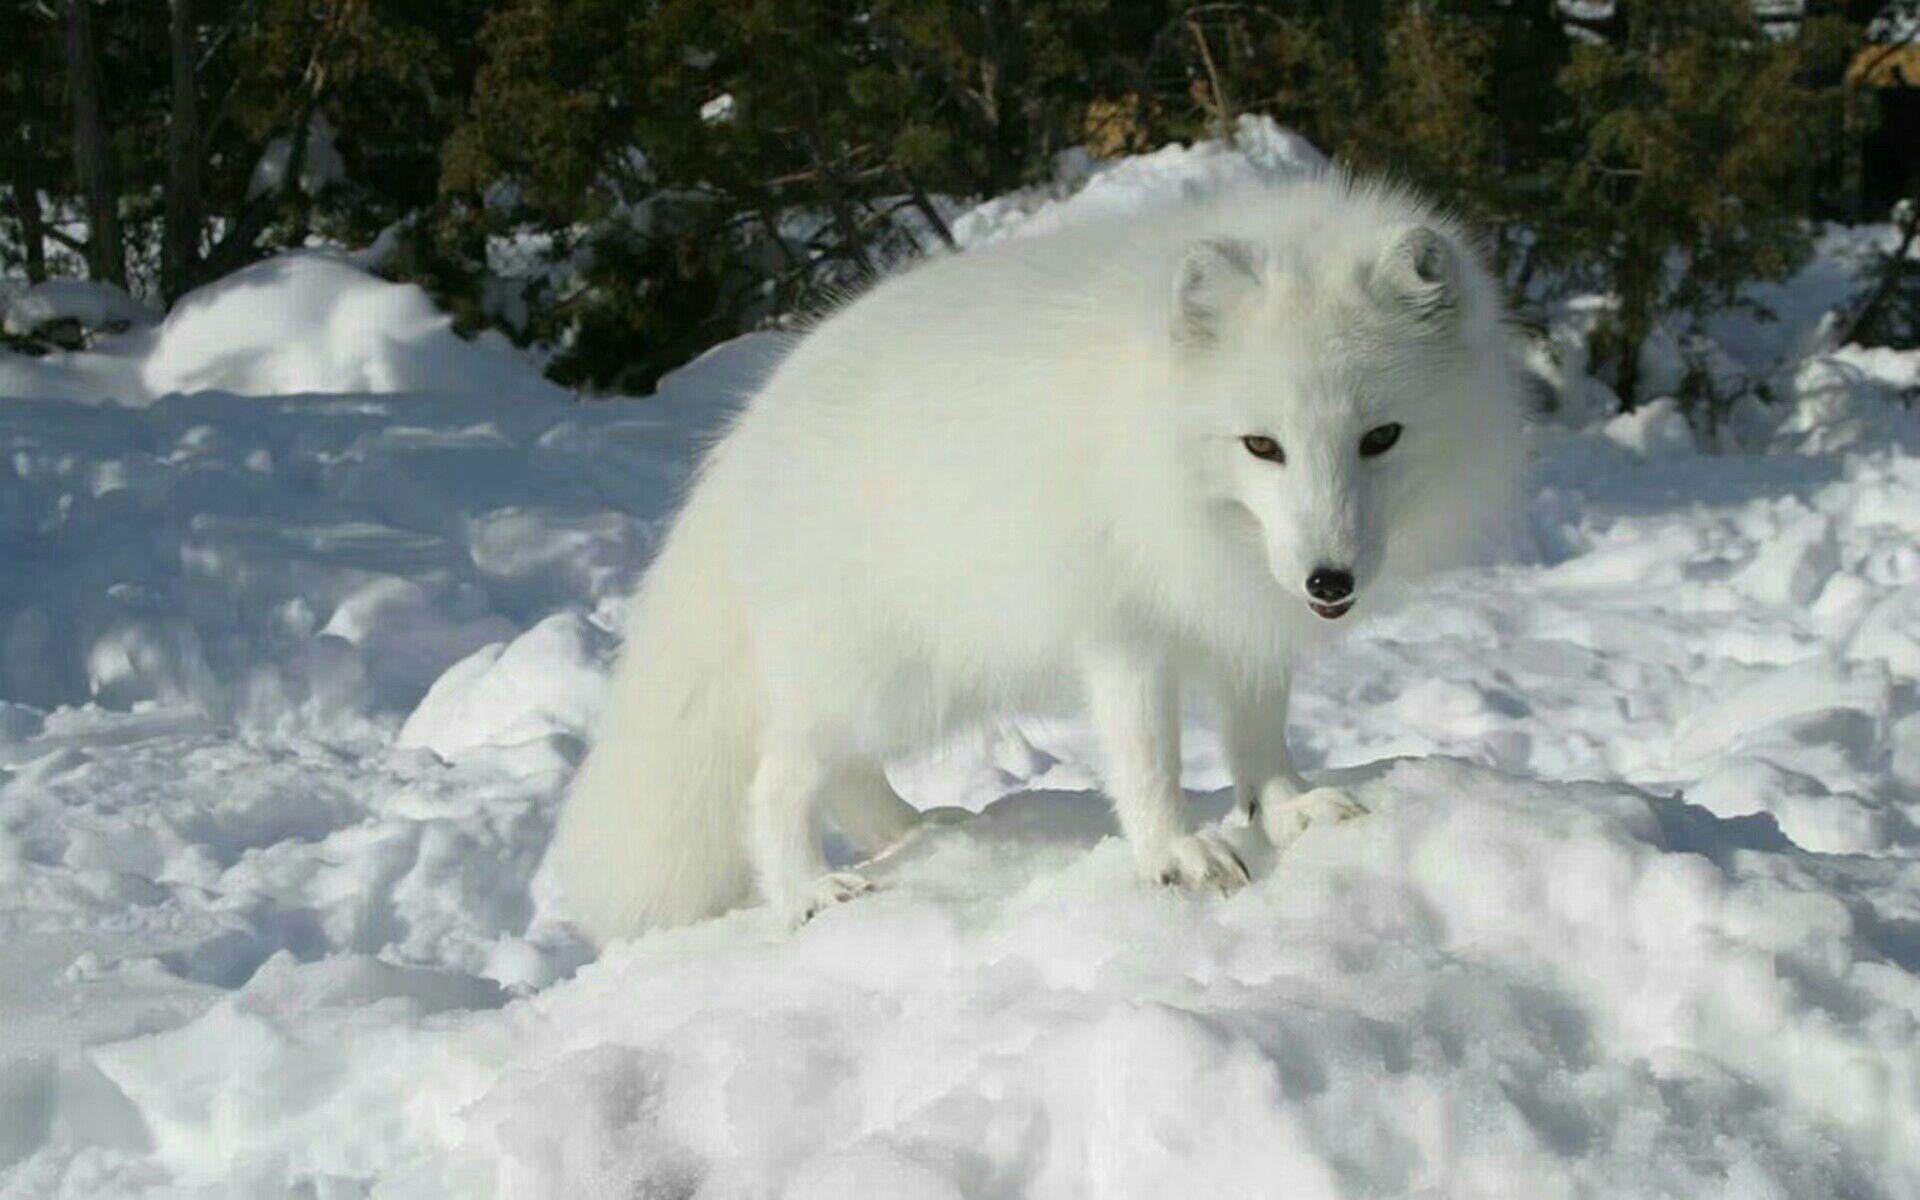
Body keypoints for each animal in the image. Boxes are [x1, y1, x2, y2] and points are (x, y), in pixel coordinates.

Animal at [545, 172, 1528, 940]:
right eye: (1262, 446)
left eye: (1381, 437)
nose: (1330, 581)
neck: (1157, 443)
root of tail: (744, 439)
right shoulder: (1125, 629)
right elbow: (1147, 759)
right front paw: (1173, 851)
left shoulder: (1240, 615)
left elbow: (1258, 734)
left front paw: (1288, 808)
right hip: (874, 671)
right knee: (775, 779)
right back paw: (807, 893)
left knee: (847, 774)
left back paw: (913, 830)